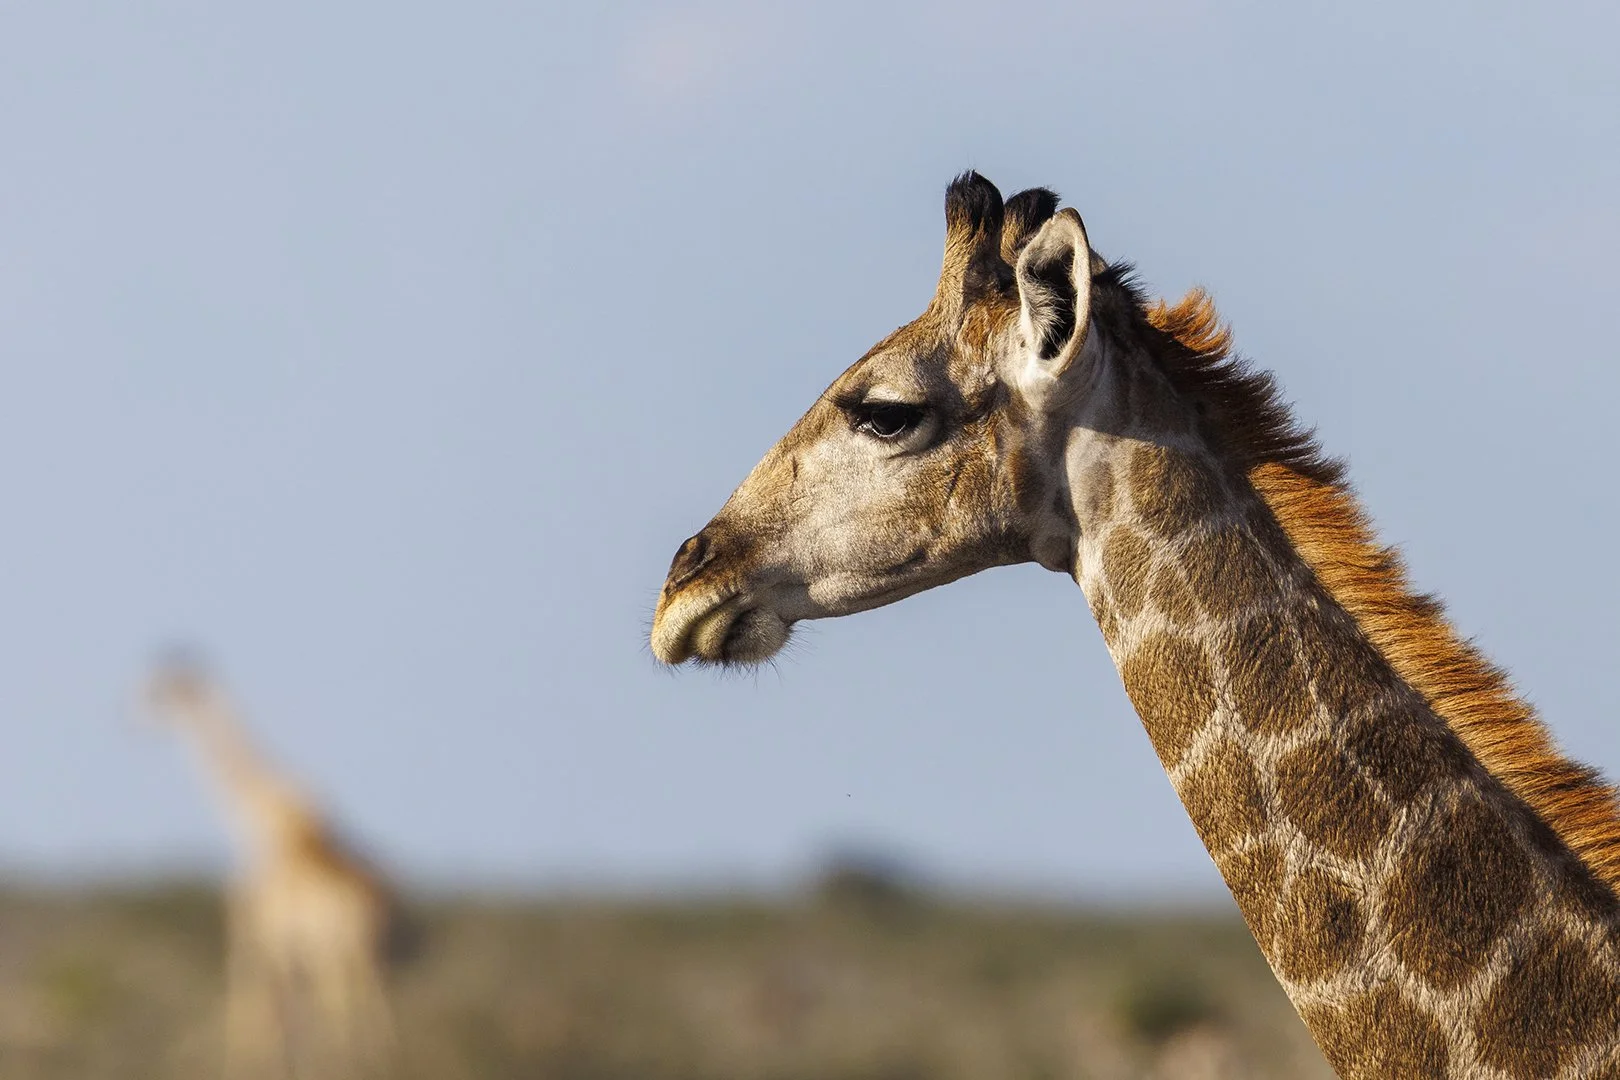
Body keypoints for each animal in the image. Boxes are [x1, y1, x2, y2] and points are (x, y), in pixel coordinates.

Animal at [147, 658, 410, 1078]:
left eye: (157, 692)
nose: (128, 716)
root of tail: (374, 901)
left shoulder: (259, 934)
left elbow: (263, 1013)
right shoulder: (274, 939)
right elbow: (280, 1019)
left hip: (332, 950)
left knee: (338, 1006)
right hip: (369, 952)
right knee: (375, 1006)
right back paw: (382, 1059)